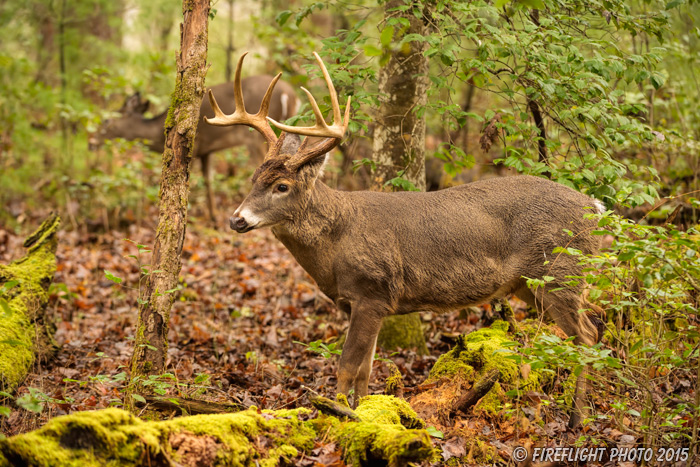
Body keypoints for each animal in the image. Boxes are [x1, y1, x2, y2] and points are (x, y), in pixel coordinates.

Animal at [89, 76, 296, 221]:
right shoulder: (207, 150)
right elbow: (209, 179)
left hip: (253, 138)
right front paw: (213, 216)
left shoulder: (195, 148)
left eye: (106, 121)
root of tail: (289, 94)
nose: (91, 141)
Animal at [209, 51, 608, 428]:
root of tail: (596, 208)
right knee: (595, 322)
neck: (336, 243)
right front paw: (365, 414)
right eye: (253, 179)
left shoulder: (372, 291)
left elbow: (347, 367)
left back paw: (577, 419)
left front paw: (336, 416)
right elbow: (366, 370)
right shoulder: (364, 303)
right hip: (533, 284)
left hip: (559, 274)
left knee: (586, 336)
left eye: (281, 186)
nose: (237, 219)